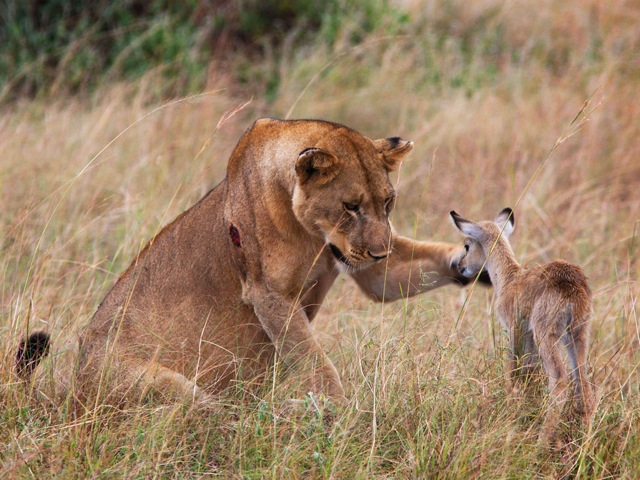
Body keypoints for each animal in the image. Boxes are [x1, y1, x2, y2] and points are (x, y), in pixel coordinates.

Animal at [450, 208, 596, 430]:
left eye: (467, 245)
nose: (460, 266)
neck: (510, 279)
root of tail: (572, 286)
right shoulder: (528, 336)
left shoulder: (515, 329)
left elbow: (512, 369)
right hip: (578, 335)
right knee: (584, 386)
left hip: (547, 335)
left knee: (560, 381)